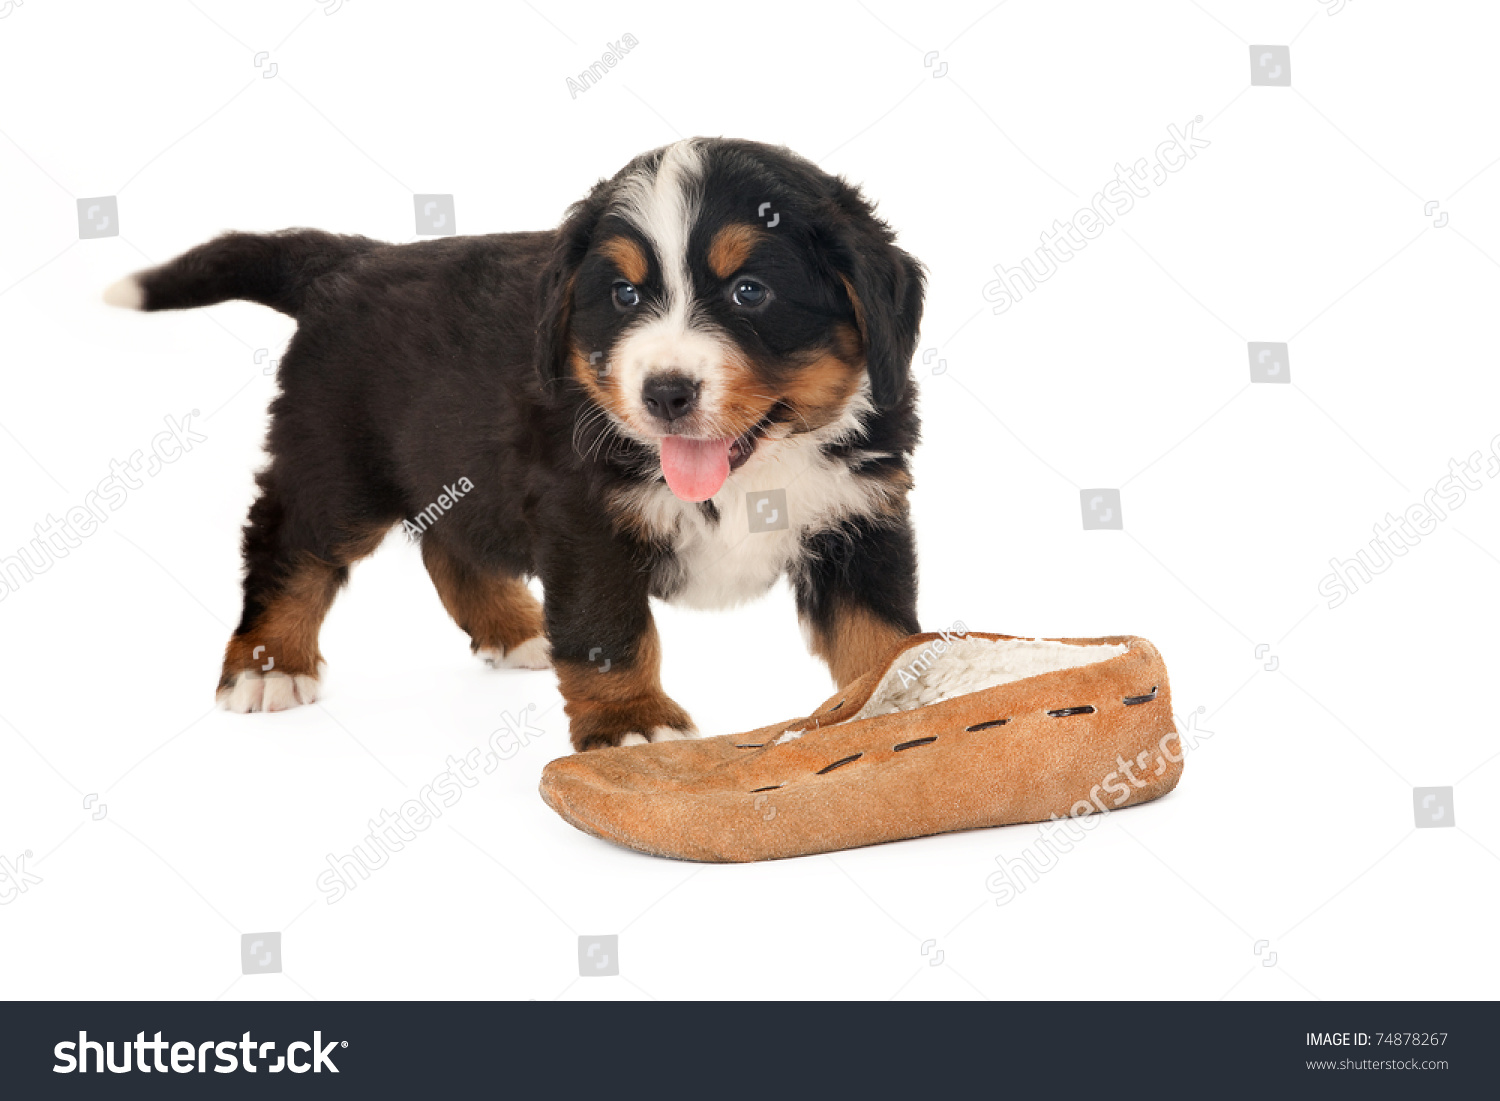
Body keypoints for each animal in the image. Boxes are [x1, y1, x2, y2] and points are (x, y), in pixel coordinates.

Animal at [105, 138, 918, 756]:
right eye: (624, 296)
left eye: (751, 291)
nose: (665, 393)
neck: (755, 469)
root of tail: (351, 261)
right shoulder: (586, 519)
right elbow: (610, 634)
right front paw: (630, 724)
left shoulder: (860, 515)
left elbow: (876, 630)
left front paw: (910, 695)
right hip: (334, 467)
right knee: (287, 549)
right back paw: (267, 667)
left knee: (448, 547)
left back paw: (517, 630)